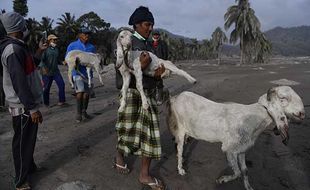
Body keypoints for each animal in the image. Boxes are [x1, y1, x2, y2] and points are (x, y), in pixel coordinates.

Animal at [167, 86, 306, 190]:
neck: (254, 118)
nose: (302, 114)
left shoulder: (241, 149)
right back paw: (181, 169)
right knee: (179, 149)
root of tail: (177, 97)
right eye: (283, 98)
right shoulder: (229, 150)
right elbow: (238, 173)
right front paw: (221, 180)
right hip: (180, 130)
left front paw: (248, 187)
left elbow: (244, 171)